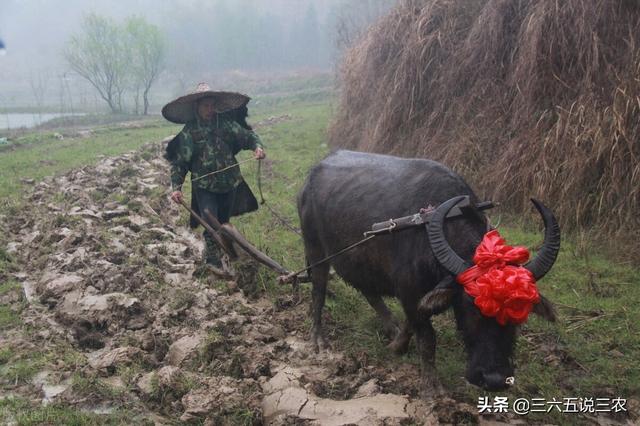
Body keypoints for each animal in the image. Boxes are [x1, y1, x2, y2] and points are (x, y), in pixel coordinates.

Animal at [298, 151, 556, 392]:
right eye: (471, 307)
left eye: (519, 313)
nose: (494, 380)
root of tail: (311, 175)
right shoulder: (409, 291)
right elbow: (427, 337)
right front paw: (432, 386)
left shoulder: (417, 296)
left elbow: (411, 323)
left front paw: (397, 345)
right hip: (315, 248)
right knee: (318, 289)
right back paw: (318, 339)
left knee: (367, 289)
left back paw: (389, 325)